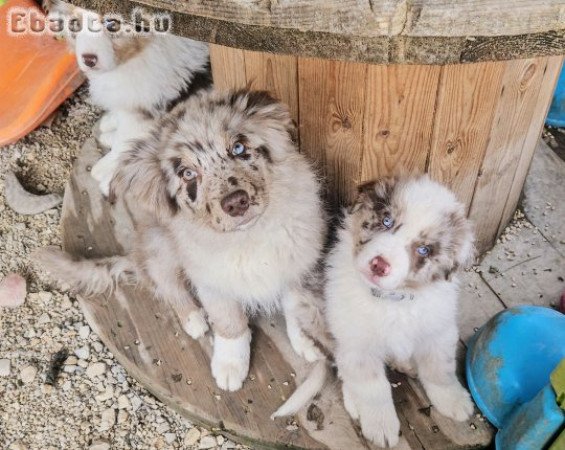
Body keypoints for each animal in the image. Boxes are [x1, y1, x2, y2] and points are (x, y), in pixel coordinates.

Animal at [38, 89, 326, 392]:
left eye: (238, 148)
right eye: (188, 174)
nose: (236, 203)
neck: (247, 238)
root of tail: (137, 257)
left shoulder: (299, 266)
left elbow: (296, 307)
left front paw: (307, 340)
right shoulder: (211, 281)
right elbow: (229, 323)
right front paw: (230, 365)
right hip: (161, 247)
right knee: (166, 285)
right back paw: (193, 319)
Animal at [48, 1, 209, 195]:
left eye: (112, 24)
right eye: (74, 24)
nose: (89, 60)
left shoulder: (147, 107)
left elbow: (125, 139)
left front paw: (106, 169)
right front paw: (110, 126)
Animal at [324, 175, 474, 446]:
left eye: (424, 249)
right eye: (386, 221)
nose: (379, 265)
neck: (392, 300)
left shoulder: (439, 331)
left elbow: (440, 369)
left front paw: (454, 400)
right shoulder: (357, 344)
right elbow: (372, 388)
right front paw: (380, 426)